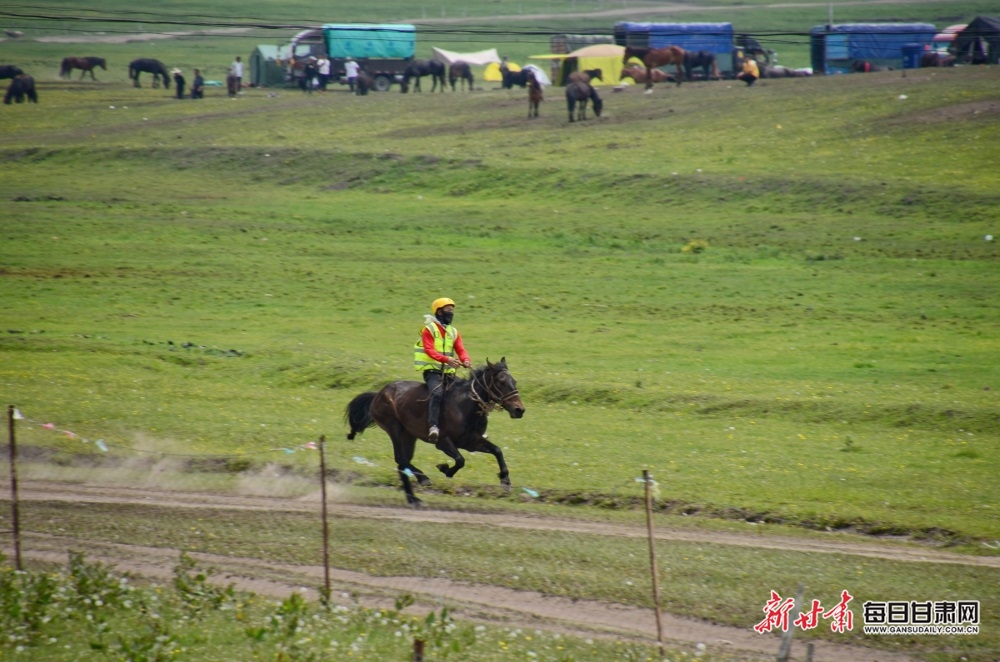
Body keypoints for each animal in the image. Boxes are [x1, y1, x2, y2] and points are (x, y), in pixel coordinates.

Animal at [346, 358, 524, 508]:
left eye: (514, 381)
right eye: (501, 382)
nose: (519, 410)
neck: (466, 405)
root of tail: (377, 395)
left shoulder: (471, 441)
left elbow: (497, 450)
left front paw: (505, 480)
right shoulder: (443, 442)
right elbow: (460, 460)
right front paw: (445, 468)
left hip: (409, 436)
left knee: (402, 463)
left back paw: (413, 499)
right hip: (394, 428)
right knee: (401, 459)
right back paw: (423, 479)